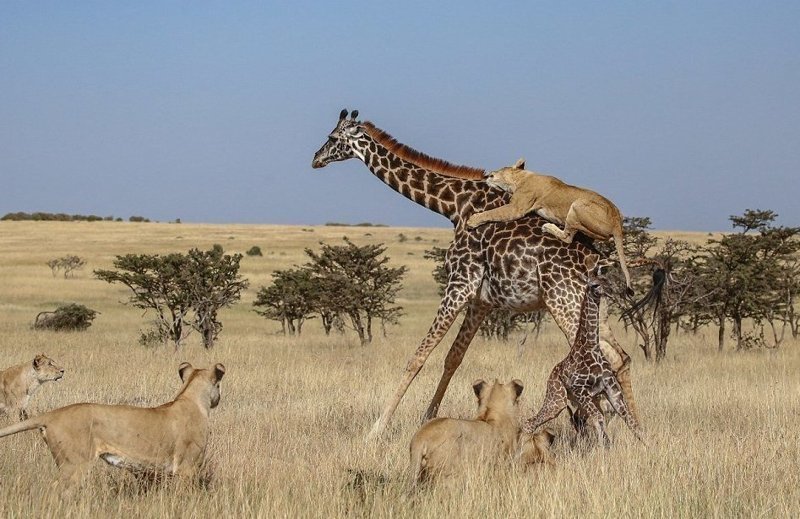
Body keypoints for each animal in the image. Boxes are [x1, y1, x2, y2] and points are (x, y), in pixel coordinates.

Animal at [0, 364, 225, 486]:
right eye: (219, 385)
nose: (218, 399)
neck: (190, 398)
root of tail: (54, 414)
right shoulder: (187, 467)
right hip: (74, 464)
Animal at [310, 108, 636, 438]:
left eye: (332, 138)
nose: (315, 159)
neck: (453, 205)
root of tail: (597, 261)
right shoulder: (482, 299)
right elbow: (453, 357)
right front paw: (429, 417)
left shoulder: (460, 282)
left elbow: (419, 356)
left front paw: (377, 428)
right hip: (594, 309)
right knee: (619, 357)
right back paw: (620, 424)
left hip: (563, 301)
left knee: (601, 357)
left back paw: (594, 421)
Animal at [520, 272, 648, 446]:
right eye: (594, 285)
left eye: (608, 281)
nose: (610, 291)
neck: (592, 347)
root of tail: (551, 376)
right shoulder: (579, 389)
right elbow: (598, 418)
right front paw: (603, 448)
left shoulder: (611, 389)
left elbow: (631, 421)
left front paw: (648, 446)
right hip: (557, 398)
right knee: (530, 422)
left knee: (571, 421)